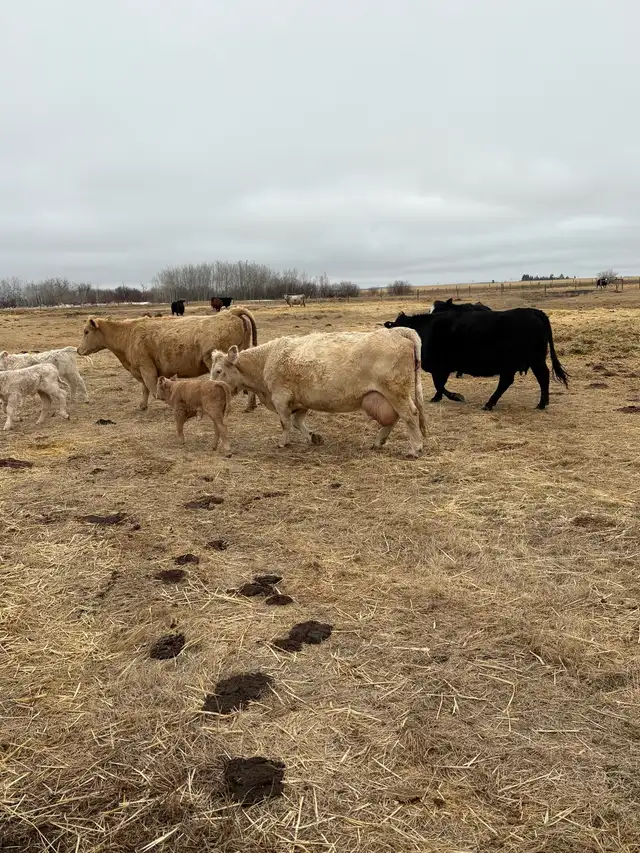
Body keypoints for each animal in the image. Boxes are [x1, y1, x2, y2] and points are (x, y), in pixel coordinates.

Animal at [77, 307, 258, 411]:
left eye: (86, 331)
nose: (78, 350)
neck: (128, 334)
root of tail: (231, 312)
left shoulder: (146, 367)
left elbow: (153, 389)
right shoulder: (141, 370)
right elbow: (145, 389)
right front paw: (142, 406)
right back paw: (251, 405)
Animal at [209, 328, 427, 457]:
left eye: (218, 371)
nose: (209, 388)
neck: (266, 359)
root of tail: (397, 332)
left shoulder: (281, 398)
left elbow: (285, 423)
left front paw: (283, 442)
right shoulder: (301, 401)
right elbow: (297, 422)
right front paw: (313, 437)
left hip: (396, 393)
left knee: (410, 415)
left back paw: (415, 448)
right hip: (387, 396)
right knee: (394, 418)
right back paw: (379, 441)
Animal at [383, 307, 568, 410]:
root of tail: (534, 312)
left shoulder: (441, 367)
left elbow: (439, 384)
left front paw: (456, 396)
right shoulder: (442, 368)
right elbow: (440, 385)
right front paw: (437, 398)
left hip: (532, 360)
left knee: (540, 377)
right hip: (517, 363)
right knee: (510, 381)